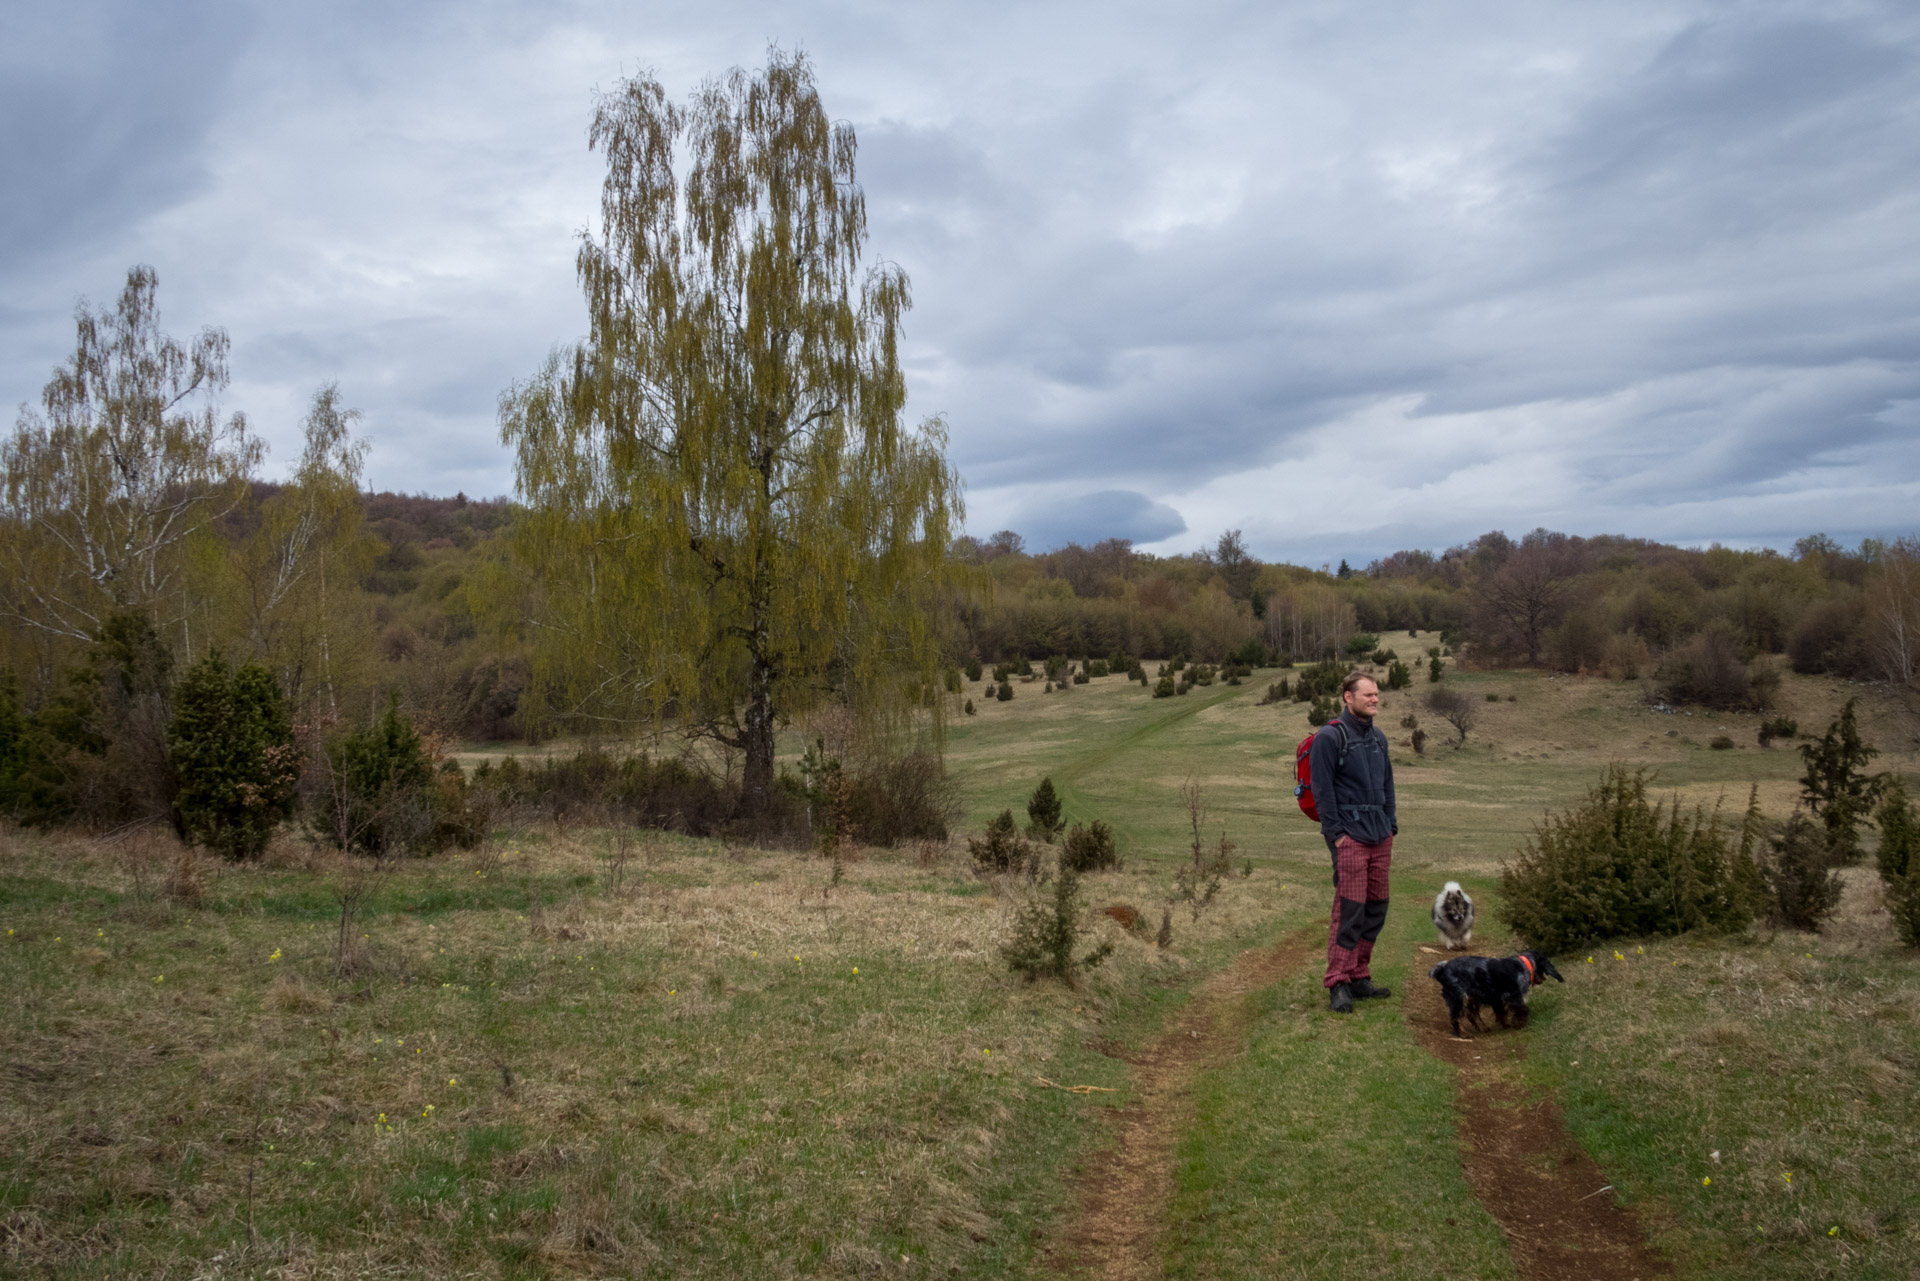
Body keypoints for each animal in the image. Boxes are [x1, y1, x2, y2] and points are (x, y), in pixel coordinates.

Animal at [1428, 948, 1559, 1037]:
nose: (1543, 979)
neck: (1523, 965)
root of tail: (1442, 971)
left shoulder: (1498, 999)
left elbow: (1502, 1013)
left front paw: (1506, 1024)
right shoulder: (1513, 997)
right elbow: (1522, 1010)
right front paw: (1519, 1024)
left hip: (1472, 998)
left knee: (1472, 1015)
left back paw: (1484, 1028)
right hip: (1458, 997)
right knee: (1456, 1017)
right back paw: (1463, 1033)